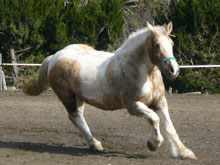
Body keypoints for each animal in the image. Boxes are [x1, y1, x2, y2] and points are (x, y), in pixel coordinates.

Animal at [23, 21, 197, 160]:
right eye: (157, 45)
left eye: (171, 43)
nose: (173, 70)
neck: (144, 73)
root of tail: (54, 57)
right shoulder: (133, 106)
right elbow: (155, 119)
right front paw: (153, 144)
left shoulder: (160, 102)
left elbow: (170, 127)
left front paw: (184, 152)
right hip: (67, 96)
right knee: (75, 117)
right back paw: (95, 144)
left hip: (79, 97)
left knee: (78, 117)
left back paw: (94, 144)